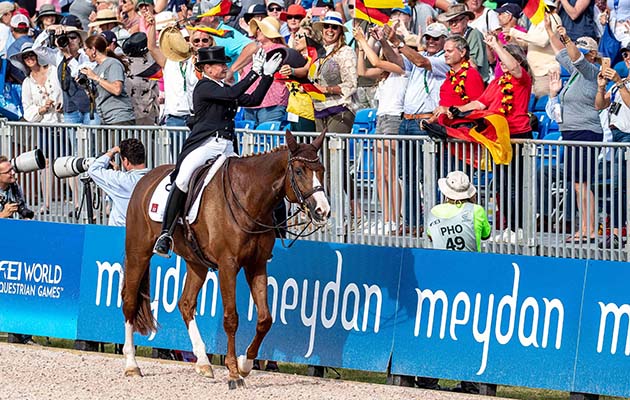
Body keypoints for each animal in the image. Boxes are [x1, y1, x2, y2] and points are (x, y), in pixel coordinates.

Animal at [121, 130, 334, 388]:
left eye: (321, 169)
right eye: (300, 170)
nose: (323, 211)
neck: (249, 198)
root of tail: (145, 178)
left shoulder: (256, 265)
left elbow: (265, 318)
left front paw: (245, 364)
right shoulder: (228, 266)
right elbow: (231, 318)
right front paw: (233, 373)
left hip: (196, 263)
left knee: (186, 304)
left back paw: (203, 362)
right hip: (138, 252)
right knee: (130, 302)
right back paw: (132, 364)